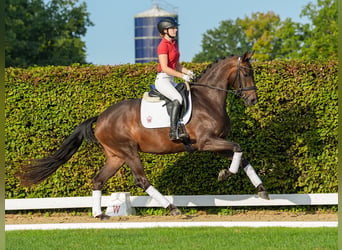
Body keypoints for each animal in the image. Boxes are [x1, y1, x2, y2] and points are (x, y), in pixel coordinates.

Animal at [17, 51, 270, 219]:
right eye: (246, 73)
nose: (253, 100)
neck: (209, 100)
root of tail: (101, 117)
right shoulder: (207, 142)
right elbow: (238, 148)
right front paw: (225, 174)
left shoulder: (215, 144)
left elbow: (241, 156)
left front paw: (262, 190)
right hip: (128, 151)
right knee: (141, 179)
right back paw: (172, 208)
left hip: (116, 156)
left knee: (98, 179)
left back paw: (99, 214)